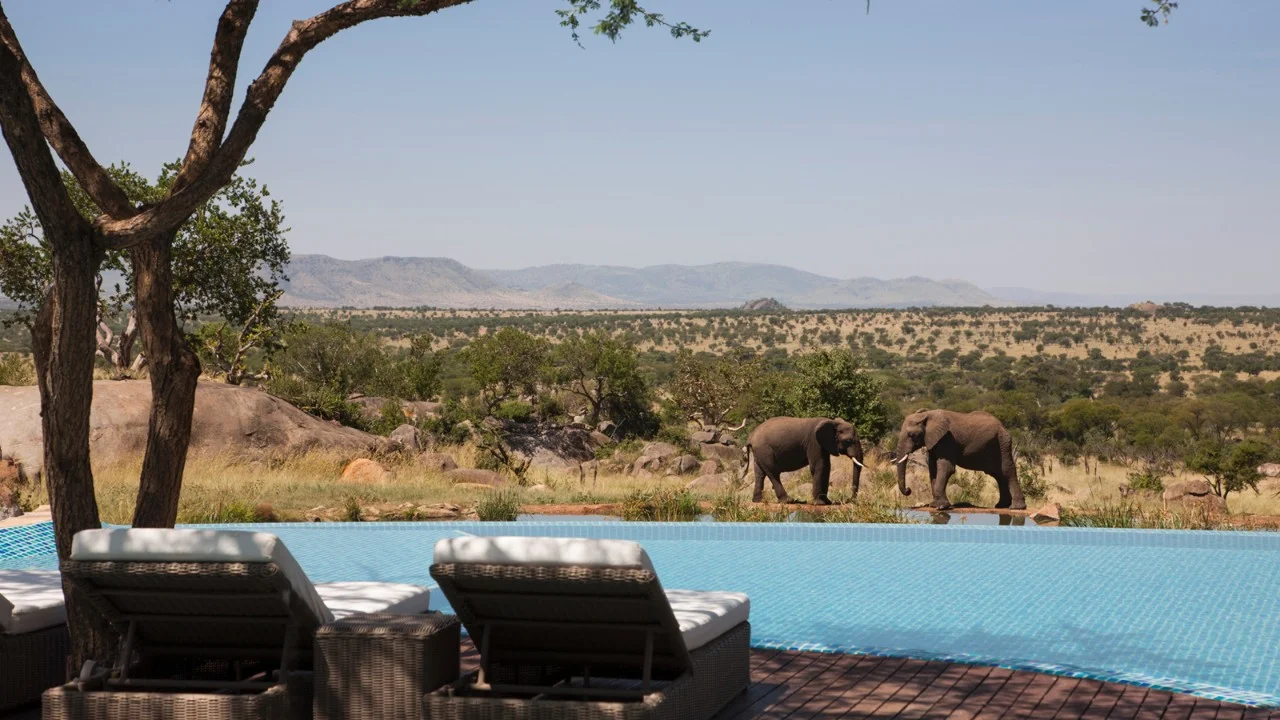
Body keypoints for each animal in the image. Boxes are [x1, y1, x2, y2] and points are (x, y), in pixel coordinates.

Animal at [893, 409, 1025, 511]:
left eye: (911, 435)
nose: (908, 490)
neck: (927, 414)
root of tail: (1003, 426)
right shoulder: (934, 441)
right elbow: (933, 469)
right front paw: (934, 505)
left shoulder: (947, 439)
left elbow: (946, 468)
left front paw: (941, 507)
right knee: (998, 474)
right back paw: (1001, 506)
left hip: (1003, 442)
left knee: (1007, 471)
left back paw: (1016, 508)